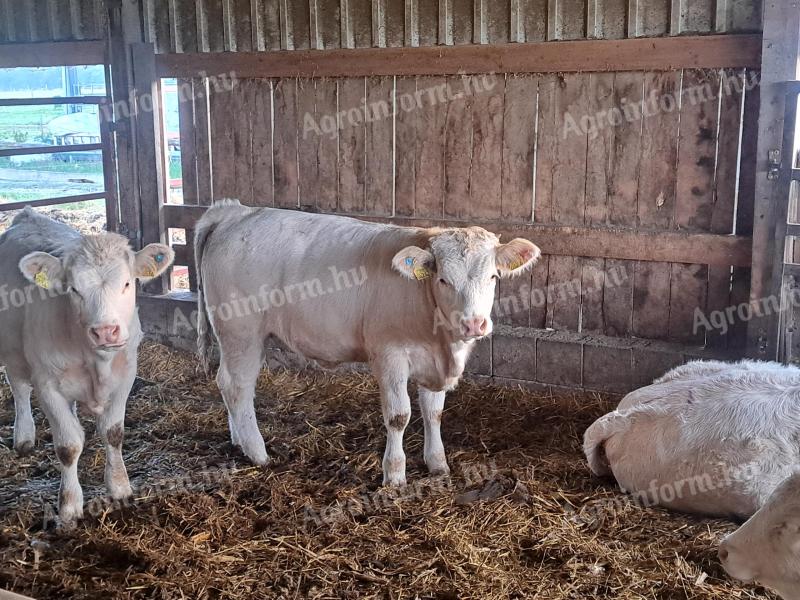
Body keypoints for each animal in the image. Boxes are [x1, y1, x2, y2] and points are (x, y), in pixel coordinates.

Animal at [0, 209, 172, 524]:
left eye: (127, 283)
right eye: (74, 289)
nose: (105, 331)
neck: (96, 362)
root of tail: (27, 215)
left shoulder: (126, 375)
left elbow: (113, 432)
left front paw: (120, 489)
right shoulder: (47, 385)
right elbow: (68, 446)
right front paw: (69, 507)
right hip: (12, 350)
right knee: (18, 387)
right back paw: (24, 437)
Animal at [196, 199, 540, 486]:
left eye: (493, 277)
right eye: (443, 279)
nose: (473, 323)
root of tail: (235, 211)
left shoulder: (432, 363)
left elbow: (434, 413)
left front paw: (438, 464)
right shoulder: (389, 356)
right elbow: (399, 416)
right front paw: (395, 475)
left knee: (226, 382)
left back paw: (239, 440)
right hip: (241, 332)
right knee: (237, 385)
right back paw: (258, 452)